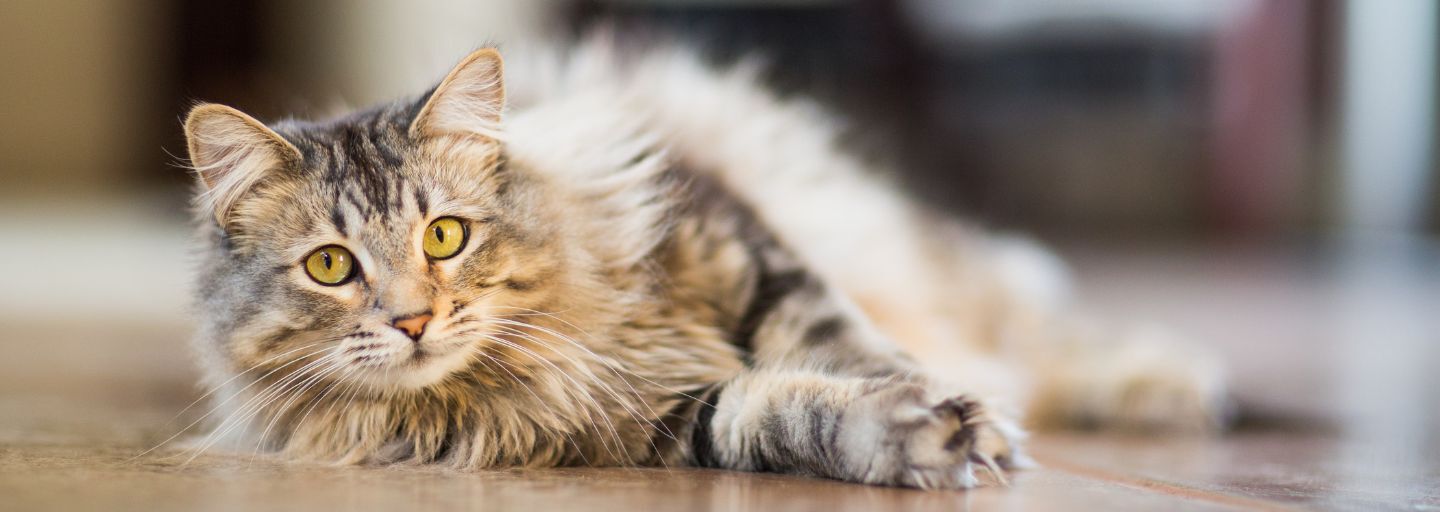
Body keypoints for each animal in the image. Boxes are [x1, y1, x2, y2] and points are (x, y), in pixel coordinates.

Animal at [180, 37, 1226, 488]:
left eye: (445, 237)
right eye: (330, 267)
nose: (411, 321)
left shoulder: (736, 238)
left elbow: (842, 338)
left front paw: (954, 411)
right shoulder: (661, 423)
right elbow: (785, 413)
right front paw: (916, 434)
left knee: (1038, 327)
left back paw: (1166, 384)